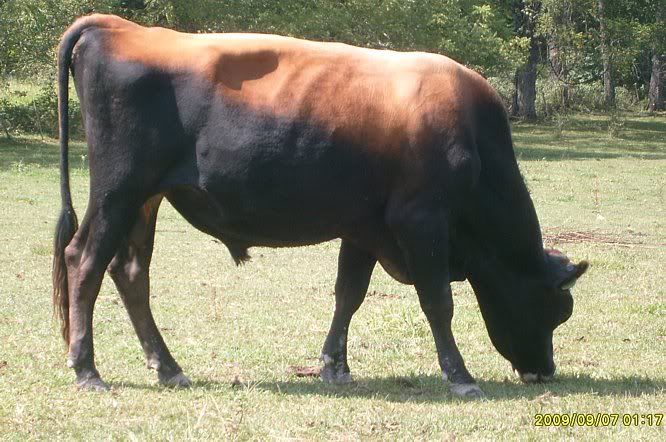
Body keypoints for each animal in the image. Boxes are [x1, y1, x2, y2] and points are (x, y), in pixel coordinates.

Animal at [53, 14, 588, 398]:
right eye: (557, 308)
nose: (545, 372)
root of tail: (116, 26)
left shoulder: (366, 226)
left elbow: (348, 294)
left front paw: (335, 366)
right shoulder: (422, 221)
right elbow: (438, 301)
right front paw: (460, 376)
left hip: (146, 199)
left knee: (130, 271)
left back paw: (168, 368)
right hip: (118, 190)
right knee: (84, 260)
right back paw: (87, 370)